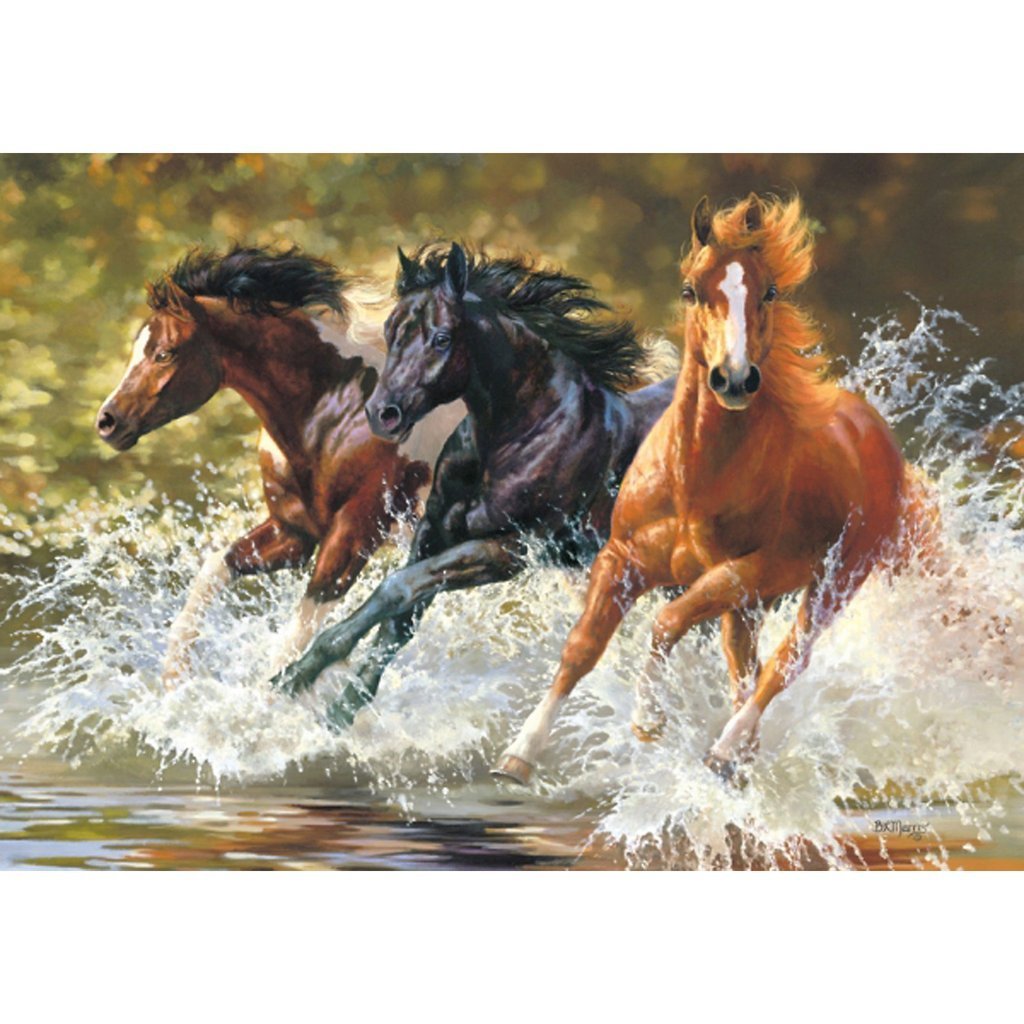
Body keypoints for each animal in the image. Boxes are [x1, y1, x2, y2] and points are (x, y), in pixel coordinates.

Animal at [95, 245, 462, 687]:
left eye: (164, 353)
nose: (107, 421)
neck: (336, 415)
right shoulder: (294, 531)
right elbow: (215, 569)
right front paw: (174, 679)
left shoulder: (352, 536)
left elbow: (293, 640)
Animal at [270, 242, 678, 727]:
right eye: (391, 330)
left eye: (442, 338)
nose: (381, 414)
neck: (524, 432)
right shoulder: (436, 531)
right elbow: (402, 617)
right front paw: (340, 705)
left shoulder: (509, 550)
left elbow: (396, 589)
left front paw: (302, 674)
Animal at [496, 193, 936, 786]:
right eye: (690, 290)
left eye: (769, 290)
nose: (734, 378)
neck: (694, 480)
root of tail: (879, 438)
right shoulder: (622, 559)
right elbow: (582, 647)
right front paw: (520, 754)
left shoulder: (748, 571)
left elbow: (665, 623)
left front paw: (647, 720)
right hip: (748, 605)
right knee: (744, 666)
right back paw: (741, 757)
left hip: (829, 583)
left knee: (785, 662)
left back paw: (725, 751)